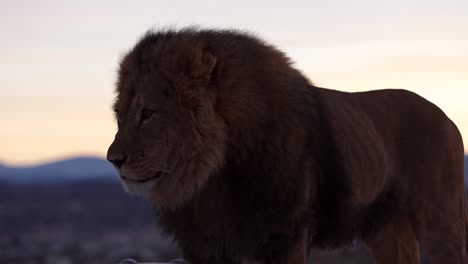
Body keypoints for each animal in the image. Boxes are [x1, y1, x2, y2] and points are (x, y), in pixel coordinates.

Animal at [108, 27, 466, 262]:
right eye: (119, 114)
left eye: (148, 114)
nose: (113, 160)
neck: (213, 178)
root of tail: (448, 119)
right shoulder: (206, 246)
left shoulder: (285, 236)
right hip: (388, 231)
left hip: (441, 224)